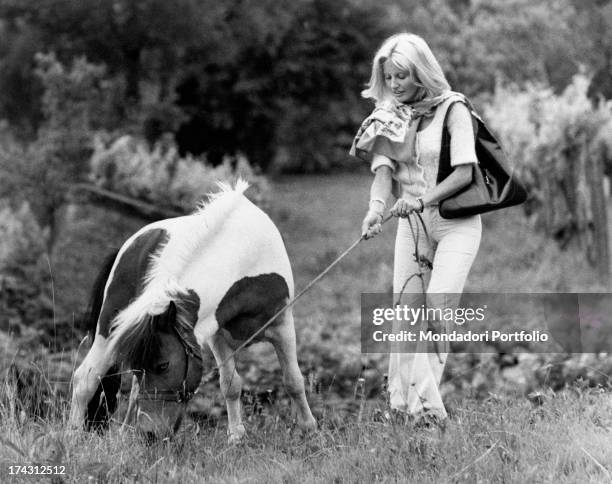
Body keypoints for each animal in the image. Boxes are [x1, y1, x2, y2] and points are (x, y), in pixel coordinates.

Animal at [71, 181, 316, 442]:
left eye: (163, 365)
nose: (150, 434)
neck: (244, 259)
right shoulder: (216, 336)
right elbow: (231, 385)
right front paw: (237, 436)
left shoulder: (282, 326)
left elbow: (293, 380)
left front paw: (309, 429)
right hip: (109, 328)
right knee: (86, 378)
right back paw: (73, 436)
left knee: (107, 383)